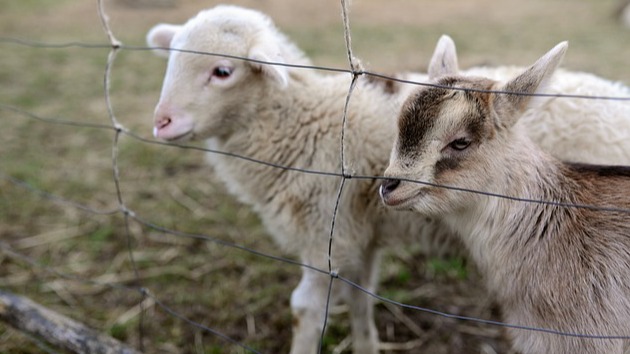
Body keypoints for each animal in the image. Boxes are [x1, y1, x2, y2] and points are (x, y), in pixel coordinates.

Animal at [146, 5, 630, 354]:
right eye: (171, 60)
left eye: (222, 71)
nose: (162, 123)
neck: (304, 119)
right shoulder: (359, 231)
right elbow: (360, 297)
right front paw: (366, 346)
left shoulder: (326, 233)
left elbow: (305, 310)